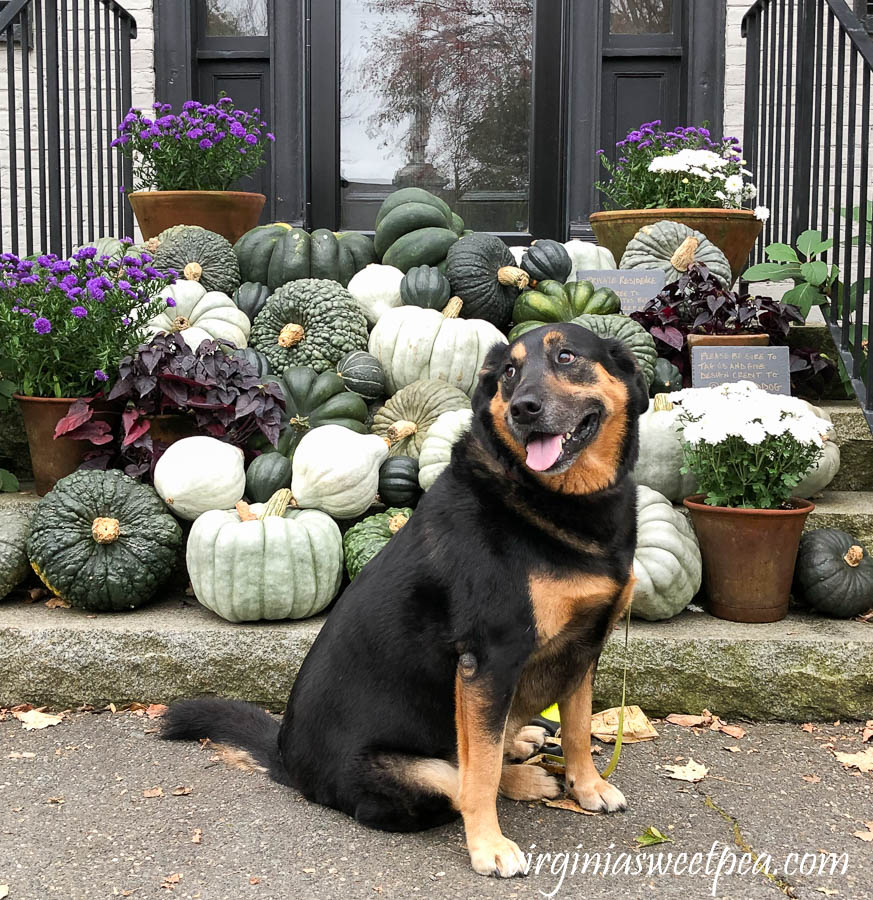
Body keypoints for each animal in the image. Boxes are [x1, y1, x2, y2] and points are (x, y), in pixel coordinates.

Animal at [164, 324, 652, 880]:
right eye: (509, 372)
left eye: (566, 357)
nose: (522, 409)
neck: (557, 500)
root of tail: (288, 759)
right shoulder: (489, 659)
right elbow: (481, 772)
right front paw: (489, 847)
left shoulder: (584, 648)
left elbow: (576, 728)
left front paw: (587, 786)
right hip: (410, 775)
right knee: (460, 778)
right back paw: (522, 778)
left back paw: (523, 743)